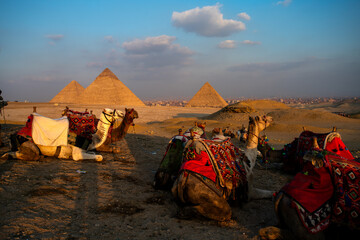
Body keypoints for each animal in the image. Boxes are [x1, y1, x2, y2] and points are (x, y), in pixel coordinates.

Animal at [1, 109, 139, 161]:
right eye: (110, 112)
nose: (121, 112)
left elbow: (96, 153)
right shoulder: (77, 153)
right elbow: (100, 157)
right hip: (30, 145)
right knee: (29, 155)